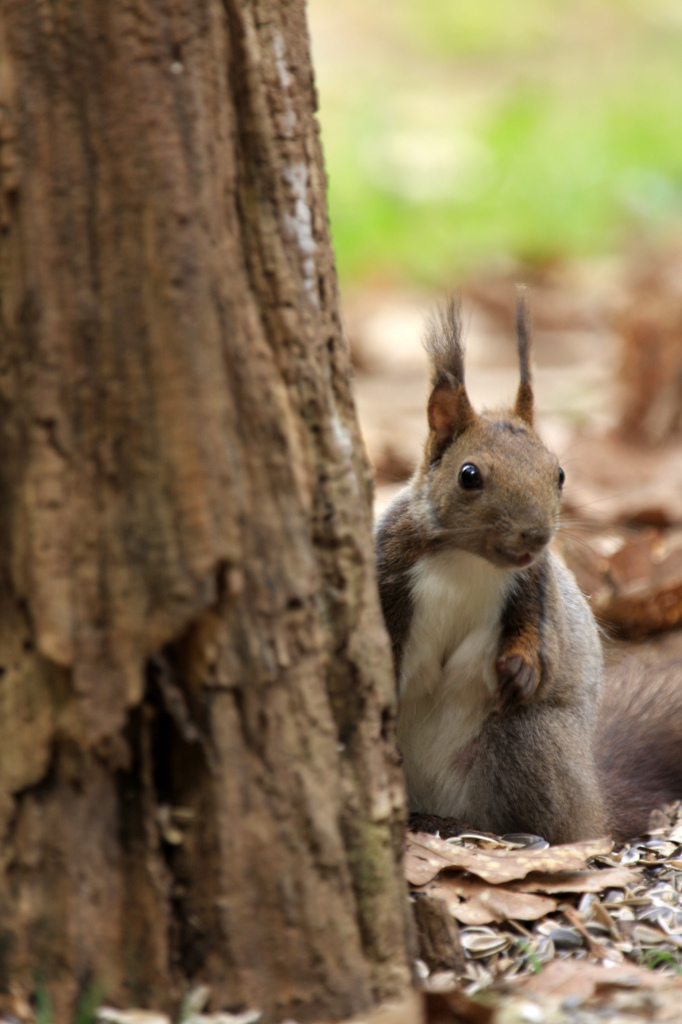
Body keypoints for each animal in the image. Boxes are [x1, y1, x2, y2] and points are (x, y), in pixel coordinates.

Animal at [374, 296, 679, 839]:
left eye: (559, 474)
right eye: (468, 475)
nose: (536, 536)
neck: (467, 562)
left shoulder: (534, 588)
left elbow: (545, 647)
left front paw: (523, 666)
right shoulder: (391, 562)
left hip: (530, 740)